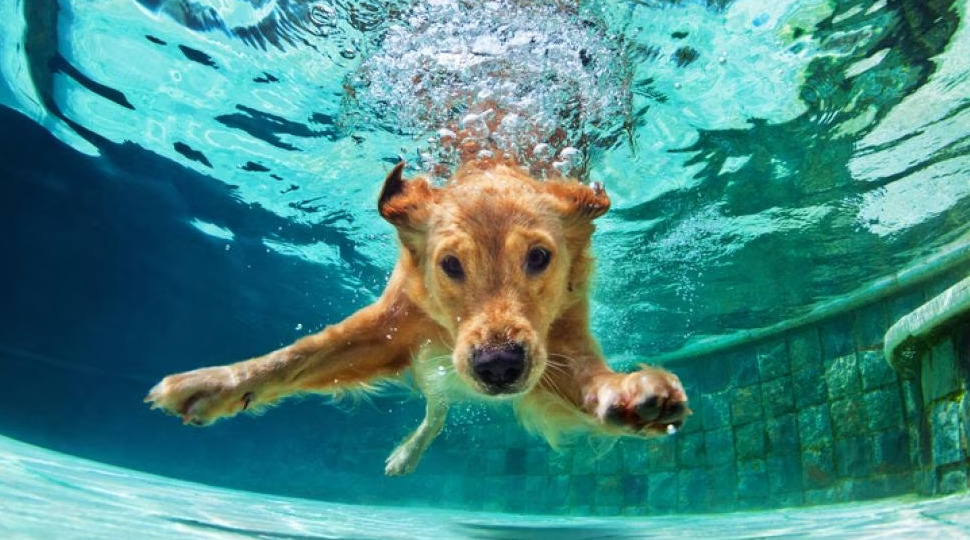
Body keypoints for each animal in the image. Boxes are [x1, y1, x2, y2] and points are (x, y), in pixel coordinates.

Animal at [146, 160, 688, 472]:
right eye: (450, 264)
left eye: (539, 257)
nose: (498, 366)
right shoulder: (390, 326)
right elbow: (299, 355)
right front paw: (215, 384)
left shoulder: (560, 341)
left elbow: (590, 379)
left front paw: (631, 394)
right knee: (436, 408)